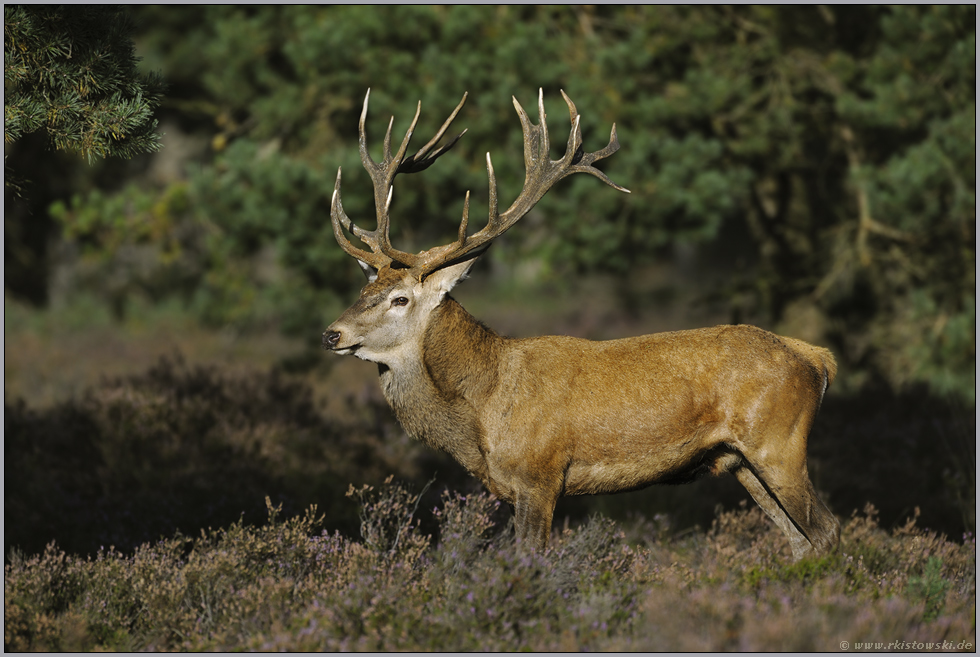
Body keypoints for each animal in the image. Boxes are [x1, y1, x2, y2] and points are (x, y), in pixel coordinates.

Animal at [324, 87, 844, 560]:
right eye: (363, 291)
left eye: (400, 299)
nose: (332, 333)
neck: (484, 411)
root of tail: (817, 359)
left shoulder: (540, 474)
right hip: (740, 462)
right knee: (799, 541)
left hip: (779, 443)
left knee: (827, 530)